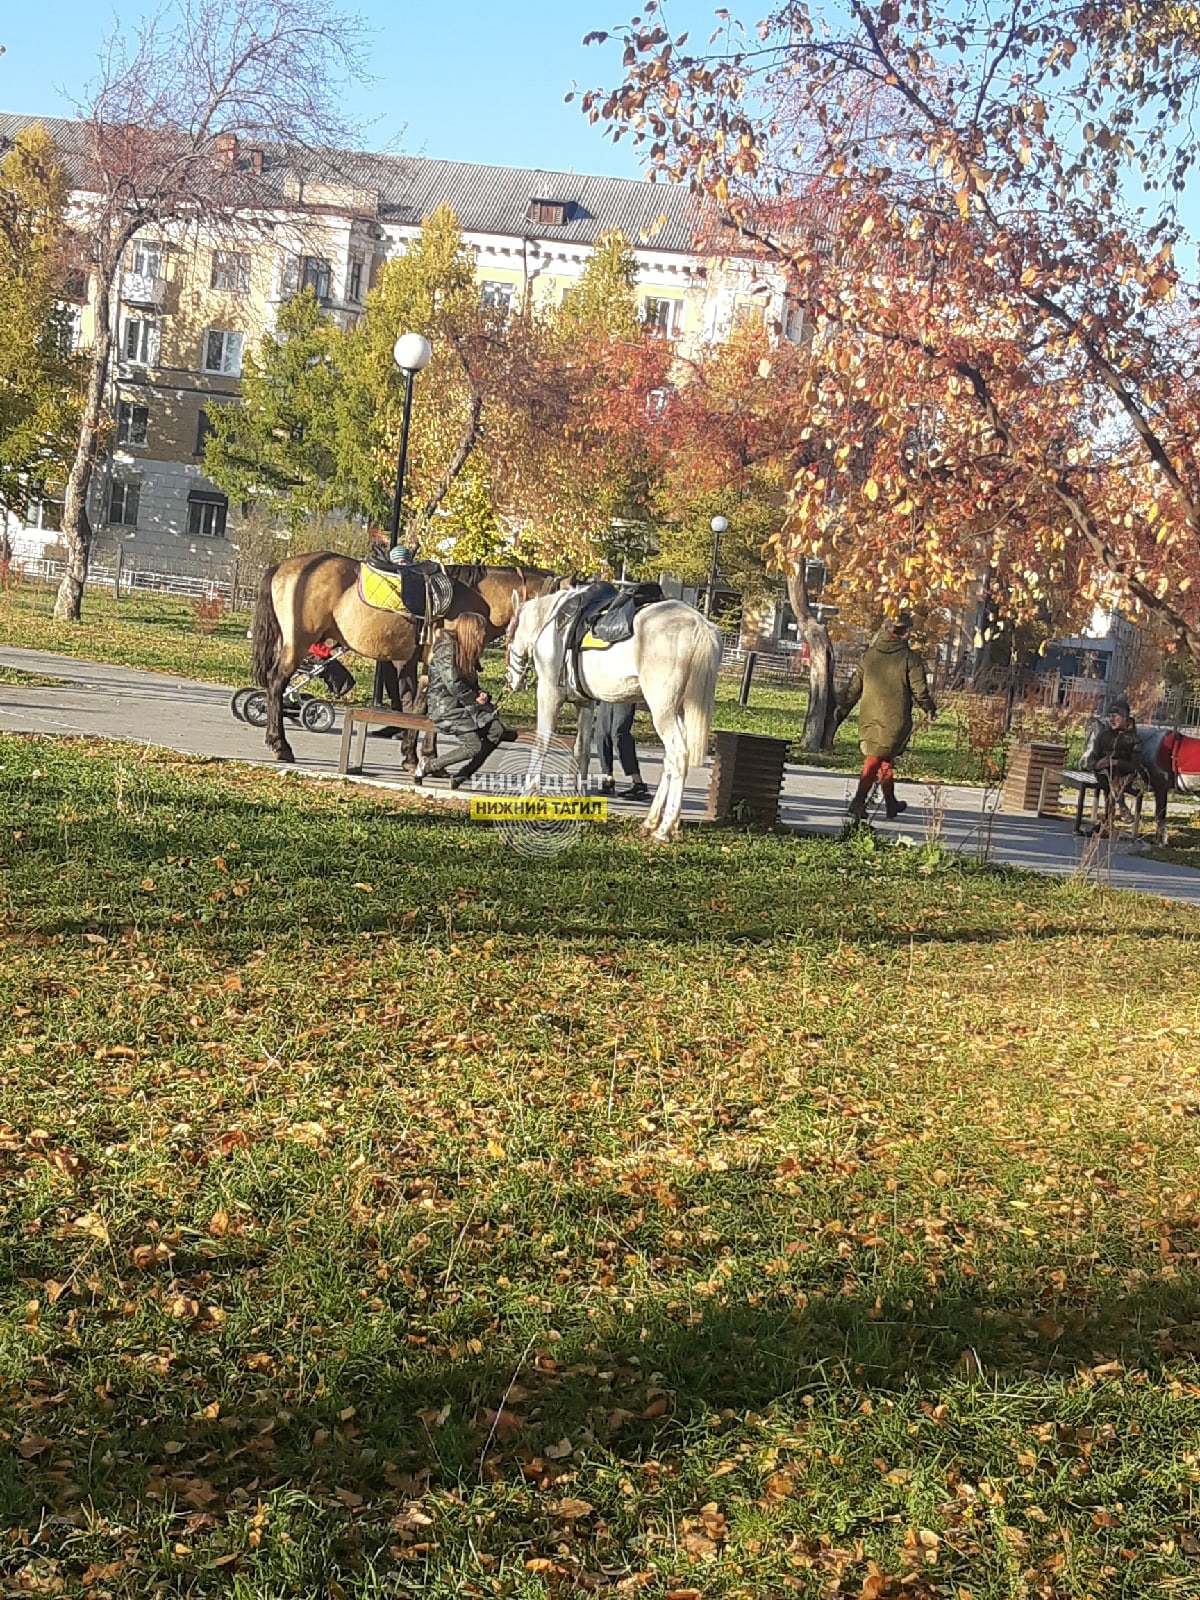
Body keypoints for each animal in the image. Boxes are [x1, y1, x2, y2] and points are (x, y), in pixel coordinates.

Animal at [251, 553, 563, 764]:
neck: (478, 599)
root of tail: (283, 566)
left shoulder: (428, 664)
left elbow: (421, 707)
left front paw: (418, 754)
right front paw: (420, 757)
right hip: (298, 642)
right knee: (276, 684)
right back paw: (279, 745)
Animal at [508, 585, 723, 838]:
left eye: (508, 635)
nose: (511, 680)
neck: (554, 623)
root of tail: (700, 625)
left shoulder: (548, 694)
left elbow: (541, 745)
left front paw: (526, 796)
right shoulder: (586, 704)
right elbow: (581, 750)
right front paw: (579, 803)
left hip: (663, 710)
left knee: (679, 755)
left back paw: (664, 828)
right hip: (681, 711)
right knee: (670, 761)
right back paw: (653, 820)